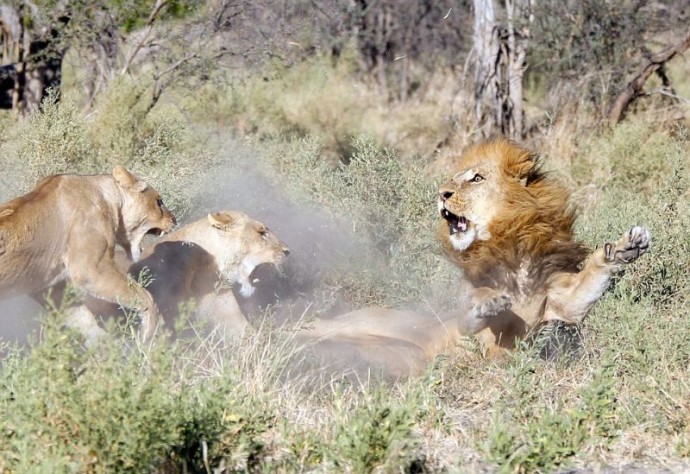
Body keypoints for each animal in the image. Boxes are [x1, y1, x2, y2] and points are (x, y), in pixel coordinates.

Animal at [0, 166, 175, 340]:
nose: (174, 219)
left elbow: (83, 320)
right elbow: (144, 296)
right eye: (159, 201)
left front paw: (107, 346)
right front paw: (150, 332)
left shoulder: (51, 286)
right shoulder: (90, 269)